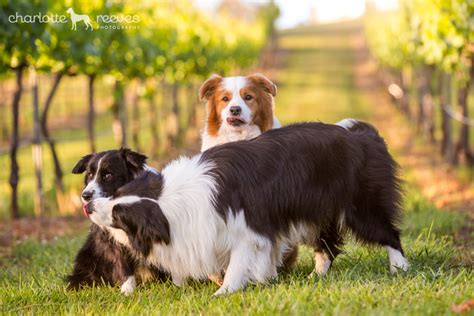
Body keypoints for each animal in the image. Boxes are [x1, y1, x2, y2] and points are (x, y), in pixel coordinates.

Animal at [84, 121, 408, 296]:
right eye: (117, 195)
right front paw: (267, 280)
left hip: (360, 205)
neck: (172, 202)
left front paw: (224, 292)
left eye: (119, 216)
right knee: (326, 244)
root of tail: (365, 137)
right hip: (314, 211)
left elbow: (240, 259)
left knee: (388, 232)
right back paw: (317, 275)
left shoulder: (246, 226)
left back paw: (399, 267)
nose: (88, 204)